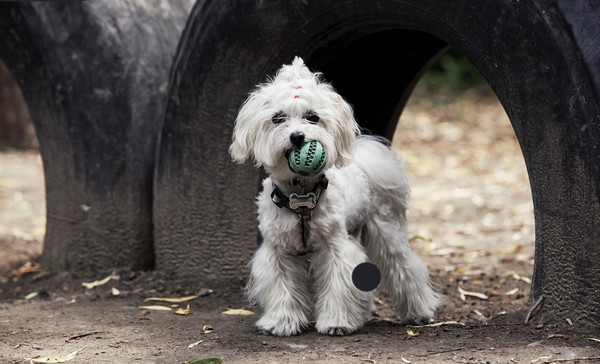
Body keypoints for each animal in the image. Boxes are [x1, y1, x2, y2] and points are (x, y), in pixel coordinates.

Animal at [227, 57, 438, 336]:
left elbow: (338, 285)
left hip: (386, 230)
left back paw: (420, 311)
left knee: (404, 267)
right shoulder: (277, 251)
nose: (297, 136)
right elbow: (282, 287)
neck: (300, 195)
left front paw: (337, 322)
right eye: (278, 118)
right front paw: (281, 322)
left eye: (313, 117)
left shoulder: (336, 248)